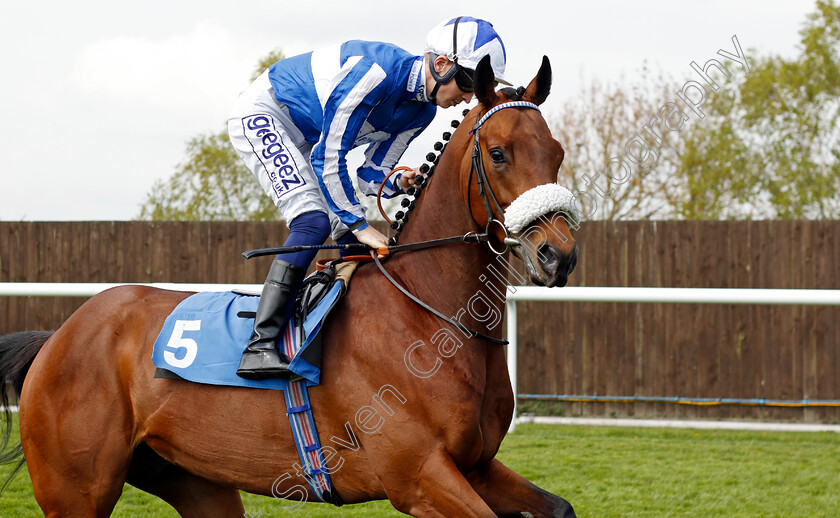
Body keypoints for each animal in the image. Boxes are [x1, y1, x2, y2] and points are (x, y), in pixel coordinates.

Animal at [0, 54, 576, 516]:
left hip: (195, 479)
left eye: (557, 152)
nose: (559, 254)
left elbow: (560, 507)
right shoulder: (417, 477)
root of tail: (56, 337)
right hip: (77, 491)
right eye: (498, 152)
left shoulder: (475, 465)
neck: (425, 314)